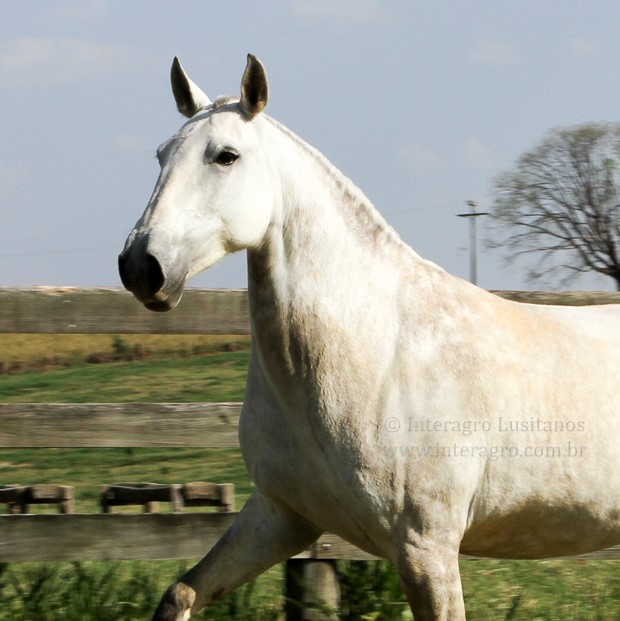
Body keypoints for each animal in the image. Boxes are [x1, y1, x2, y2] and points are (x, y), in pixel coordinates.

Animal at [120, 55, 620, 616]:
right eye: (162, 154)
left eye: (226, 156)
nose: (141, 266)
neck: (375, 351)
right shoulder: (281, 515)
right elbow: (182, 591)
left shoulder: (426, 547)